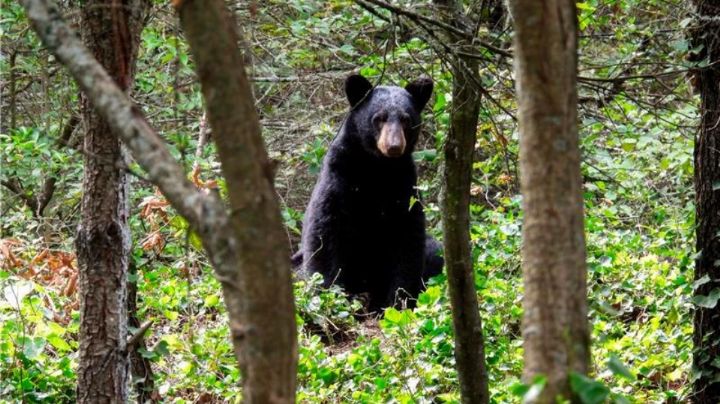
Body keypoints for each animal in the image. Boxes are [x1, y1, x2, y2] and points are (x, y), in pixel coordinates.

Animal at [295, 74, 443, 312]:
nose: (394, 146)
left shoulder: (404, 188)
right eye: (379, 118)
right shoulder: (339, 178)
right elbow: (324, 234)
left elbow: (407, 241)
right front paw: (330, 297)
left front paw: (397, 301)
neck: (376, 168)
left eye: (406, 119)